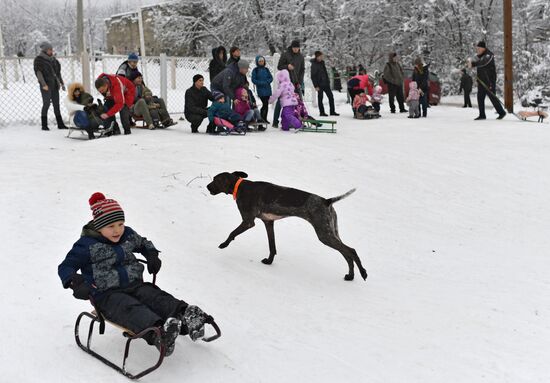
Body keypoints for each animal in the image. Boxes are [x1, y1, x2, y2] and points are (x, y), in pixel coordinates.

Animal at [206, 172, 366, 280]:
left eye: (215, 180)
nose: (207, 186)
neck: (240, 187)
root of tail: (326, 201)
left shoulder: (248, 222)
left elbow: (232, 233)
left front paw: (224, 244)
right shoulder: (268, 223)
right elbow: (272, 247)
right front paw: (269, 261)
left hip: (324, 234)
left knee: (351, 251)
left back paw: (363, 273)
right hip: (332, 232)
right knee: (346, 254)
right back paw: (350, 276)